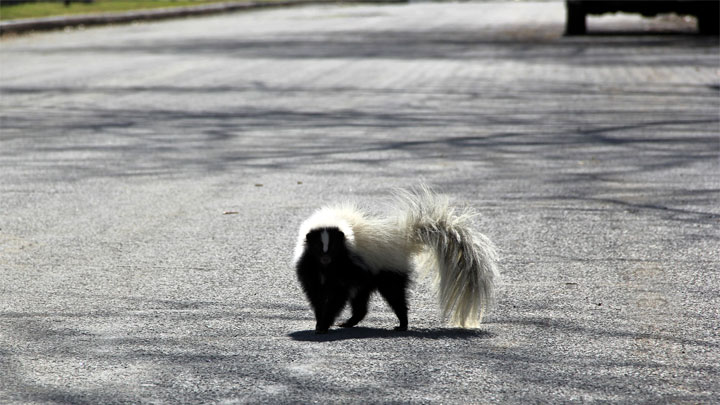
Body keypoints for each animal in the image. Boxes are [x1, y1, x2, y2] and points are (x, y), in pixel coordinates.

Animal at [296, 185, 498, 332]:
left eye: (334, 248)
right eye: (317, 247)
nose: (325, 258)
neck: (326, 268)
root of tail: (403, 239)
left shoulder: (346, 266)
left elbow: (336, 296)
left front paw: (324, 324)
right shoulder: (311, 269)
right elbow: (317, 296)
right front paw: (320, 322)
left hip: (388, 272)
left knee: (396, 298)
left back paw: (402, 324)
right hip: (368, 277)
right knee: (361, 303)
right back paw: (350, 322)